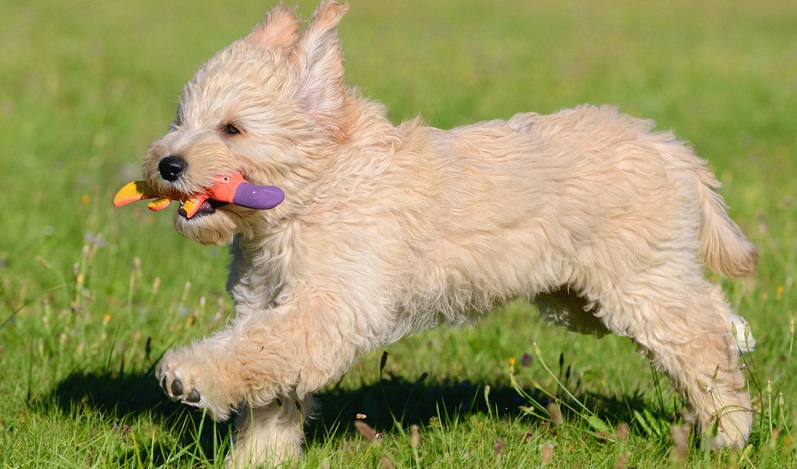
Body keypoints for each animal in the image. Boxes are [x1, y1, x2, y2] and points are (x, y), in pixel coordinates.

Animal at [132, 0, 760, 464]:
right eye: (179, 121)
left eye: (231, 129)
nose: (166, 165)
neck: (311, 196)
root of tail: (669, 147)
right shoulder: (266, 302)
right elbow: (268, 387)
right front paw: (258, 458)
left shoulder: (330, 306)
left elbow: (258, 351)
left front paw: (190, 375)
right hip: (586, 297)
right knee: (709, 314)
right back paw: (742, 342)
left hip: (632, 282)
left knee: (701, 340)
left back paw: (728, 431)